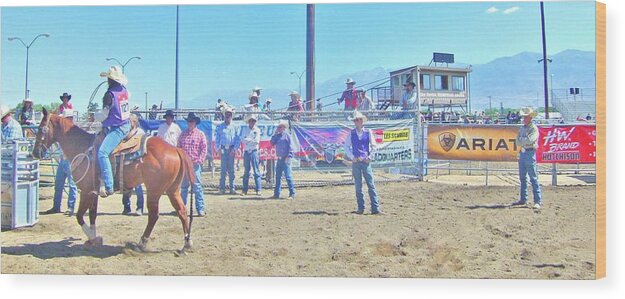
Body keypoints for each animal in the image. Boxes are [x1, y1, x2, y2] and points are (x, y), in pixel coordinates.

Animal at [31, 109, 196, 254]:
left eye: (40, 128)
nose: (35, 153)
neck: (82, 146)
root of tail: (176, 150)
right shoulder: (94, 192)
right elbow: (92, 214)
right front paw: (93, 239)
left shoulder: (86, 191)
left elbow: (79, 216)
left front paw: (93, 237)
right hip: (172, 190)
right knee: (182, 211)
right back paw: (186, 244)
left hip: (154, 191)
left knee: (154, 216)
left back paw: (141, 243)